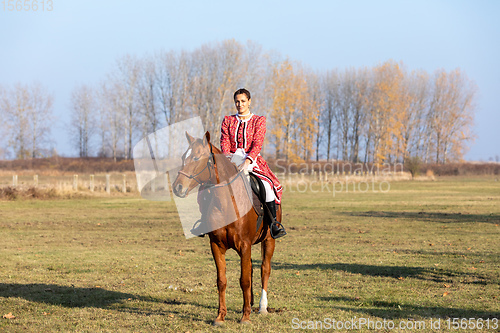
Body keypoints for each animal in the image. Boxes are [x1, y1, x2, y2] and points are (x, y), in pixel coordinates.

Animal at [173, 132, 282, 324]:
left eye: (196, 157)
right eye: (182, 157)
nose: (177, 187)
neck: (227, 203)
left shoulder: (245, 245)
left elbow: (244, 280)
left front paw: (245, 317)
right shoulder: (216, 245)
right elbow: (222, 280)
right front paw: (220, 316)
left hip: (269, 240)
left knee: (264, 269)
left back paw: (261, 307)